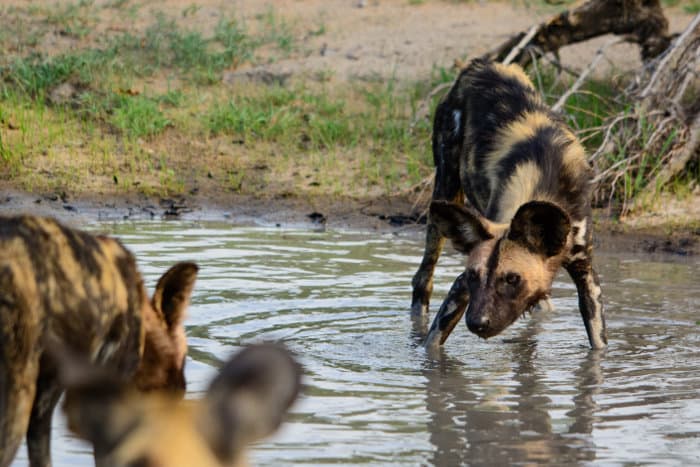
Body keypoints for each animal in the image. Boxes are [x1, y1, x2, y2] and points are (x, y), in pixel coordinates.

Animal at [410, 57, 608, 352]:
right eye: (473, 275)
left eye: (512, 279)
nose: (477, 323)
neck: (547, 180)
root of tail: (482, 64)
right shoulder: (461, 286)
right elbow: (432, 343)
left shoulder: (587, 277)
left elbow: (598, 344)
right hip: (445, 189)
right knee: (423, 278)